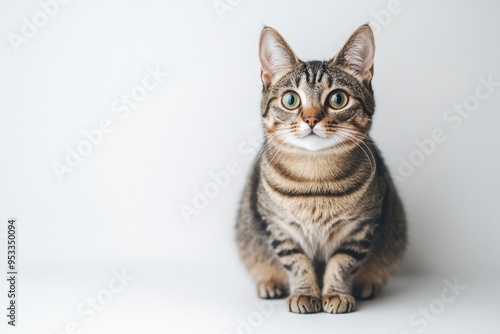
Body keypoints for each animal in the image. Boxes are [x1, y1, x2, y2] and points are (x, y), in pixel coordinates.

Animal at [237, 24, 406, 314]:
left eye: (337, 99)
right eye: (291, 100)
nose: (311, 119)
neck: (315, 178)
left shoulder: (361, 228)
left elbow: (342, 263)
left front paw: (336, 294)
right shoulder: (279, 228)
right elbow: (297, 263)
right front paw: (305, 293)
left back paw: (366, 285)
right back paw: (269, 283)